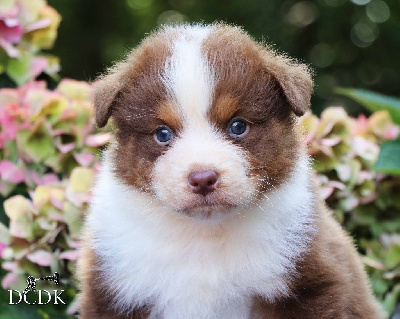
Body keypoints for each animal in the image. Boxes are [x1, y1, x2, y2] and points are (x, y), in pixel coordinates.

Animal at [76, 23, 386, 318]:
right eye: (162, 134)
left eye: (237, 126)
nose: (203, 179)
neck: (204, 233)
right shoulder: (114, 292)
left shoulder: (310, 284)